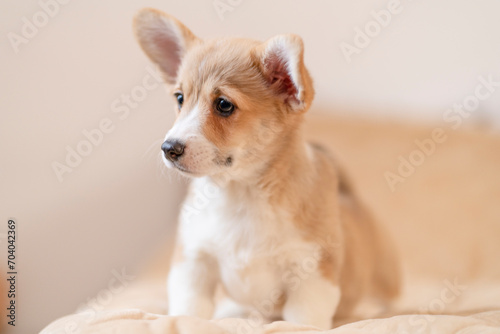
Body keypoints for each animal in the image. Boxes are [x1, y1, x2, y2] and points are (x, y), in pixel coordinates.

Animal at [135, 7, 400, 328]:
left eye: (224, 105)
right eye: (180, 99)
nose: (169, 148)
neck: (240, 195)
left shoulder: (310, 275)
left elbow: (302, 321)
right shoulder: (193, 264)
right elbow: (189, 310)